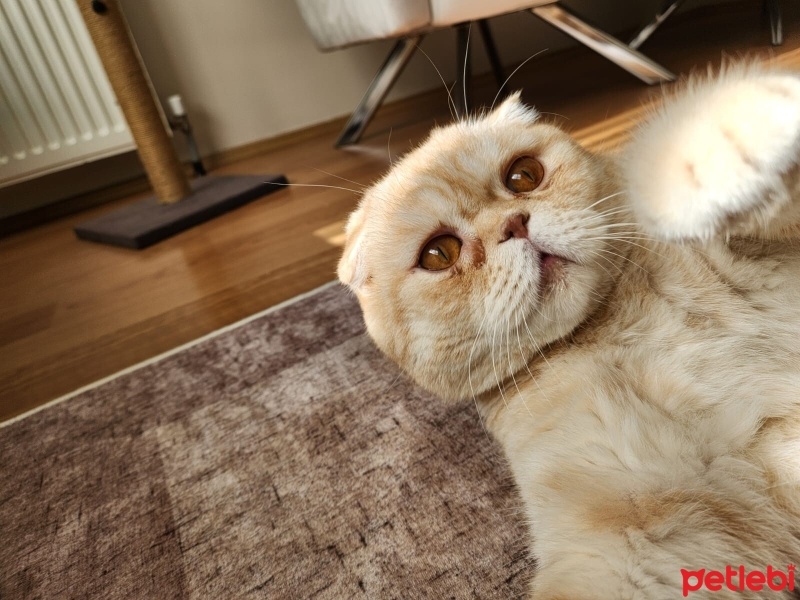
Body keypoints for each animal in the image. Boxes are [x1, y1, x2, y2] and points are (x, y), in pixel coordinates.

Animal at [334, 63, 800, 596]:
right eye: (439, 254)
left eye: (523, 175)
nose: (514, 224)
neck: (616, 320)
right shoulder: (649, 524)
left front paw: (725, 138)